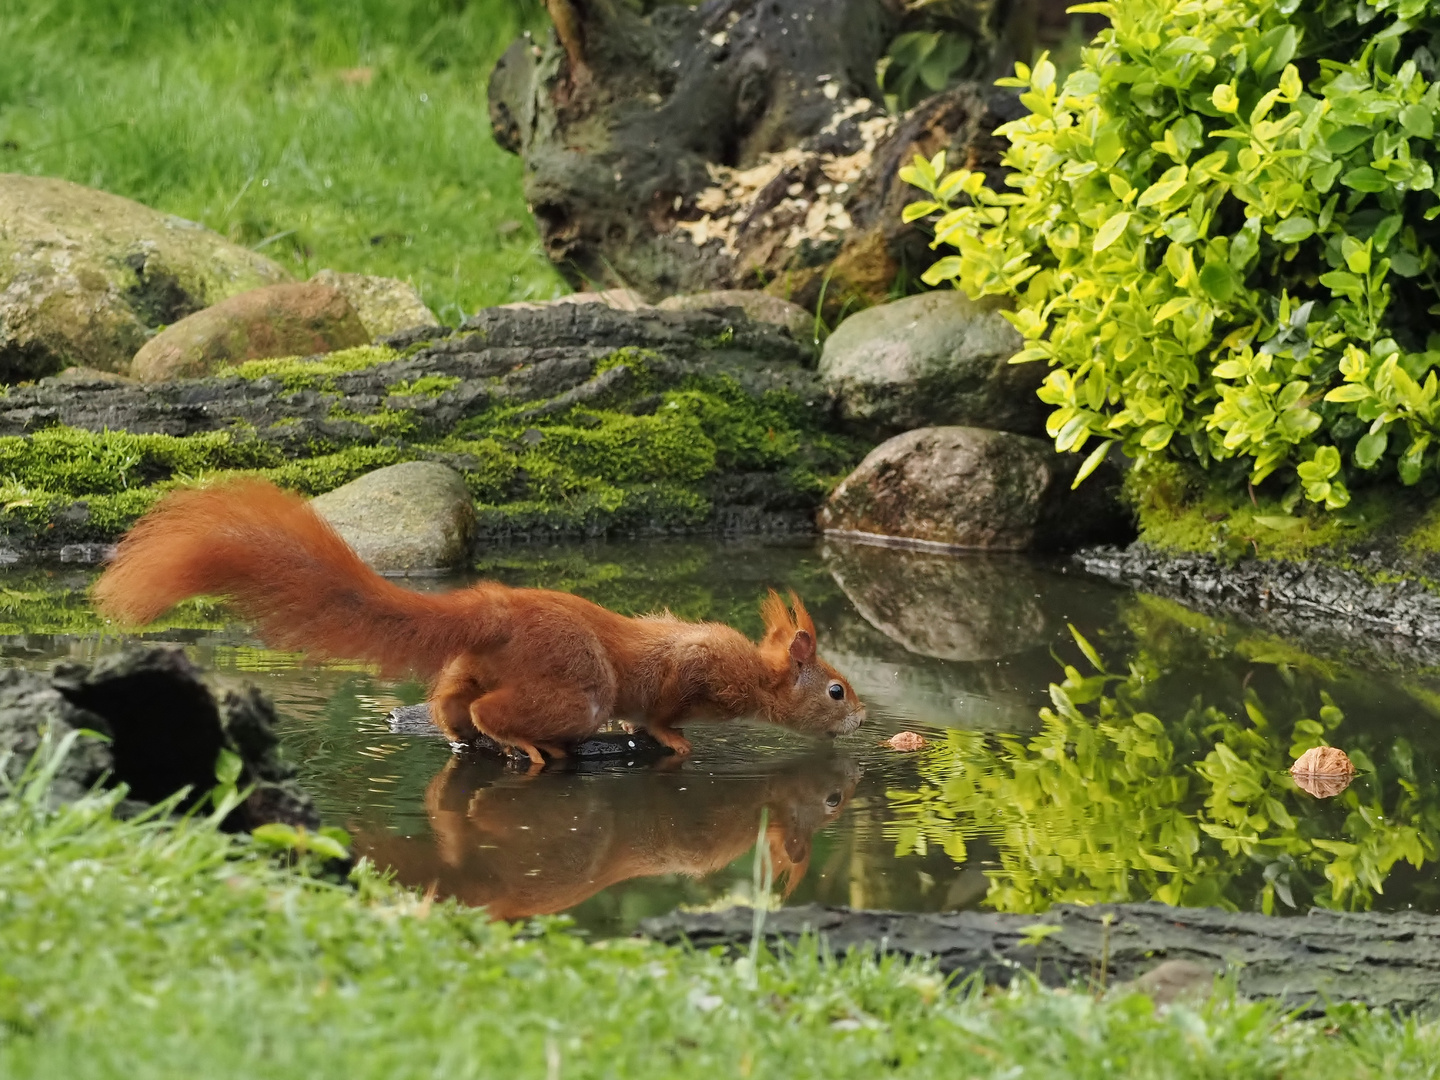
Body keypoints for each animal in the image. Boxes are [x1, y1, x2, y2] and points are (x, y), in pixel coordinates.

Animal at [92, 478, 864, 766]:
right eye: (836, 690)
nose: (860, 721)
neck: (753, 676)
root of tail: (495, 613)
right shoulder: (694, 667)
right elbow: (664, 708)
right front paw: (670, 736)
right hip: (573, 691)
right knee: (503, 712)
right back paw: (524, 745)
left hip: (474, 667)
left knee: (451, 703)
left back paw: (461, 736)